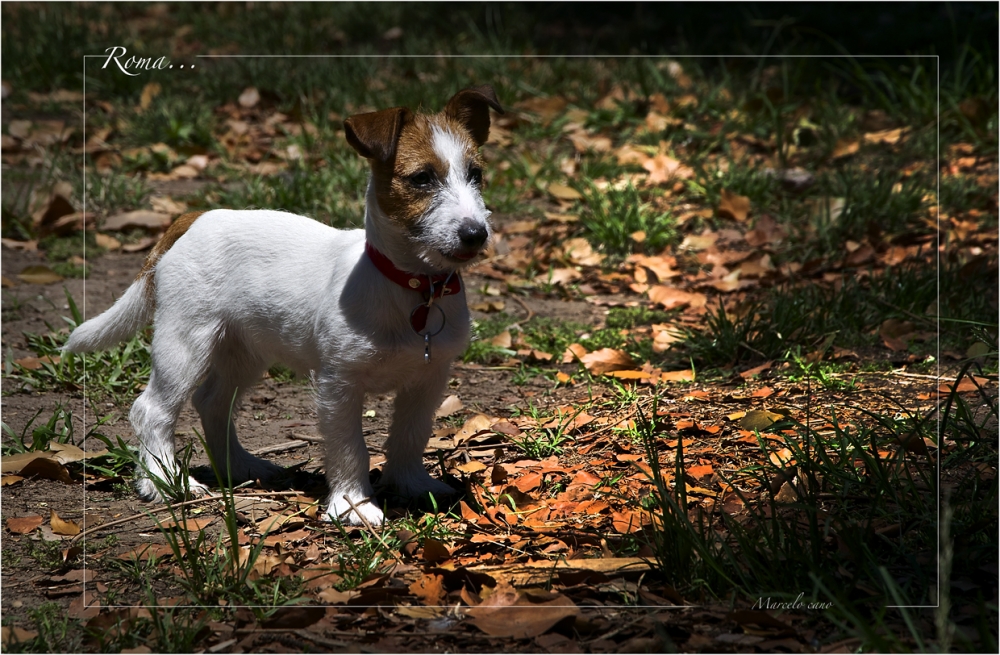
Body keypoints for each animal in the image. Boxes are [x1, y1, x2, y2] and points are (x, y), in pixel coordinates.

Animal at [66, 86, 504, 528]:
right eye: (421, 178)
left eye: (476, 175)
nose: (475, 233)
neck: (414, 288)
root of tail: (197, 216)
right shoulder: (338, 384)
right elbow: (350, 447)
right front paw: (353, 505)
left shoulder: (428, 379)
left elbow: (410, 436)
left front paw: (411, 484)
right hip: (186, 342)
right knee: (151, 409)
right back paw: (166, 483)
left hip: (242, 350)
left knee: (213, 403)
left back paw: (240, 467)